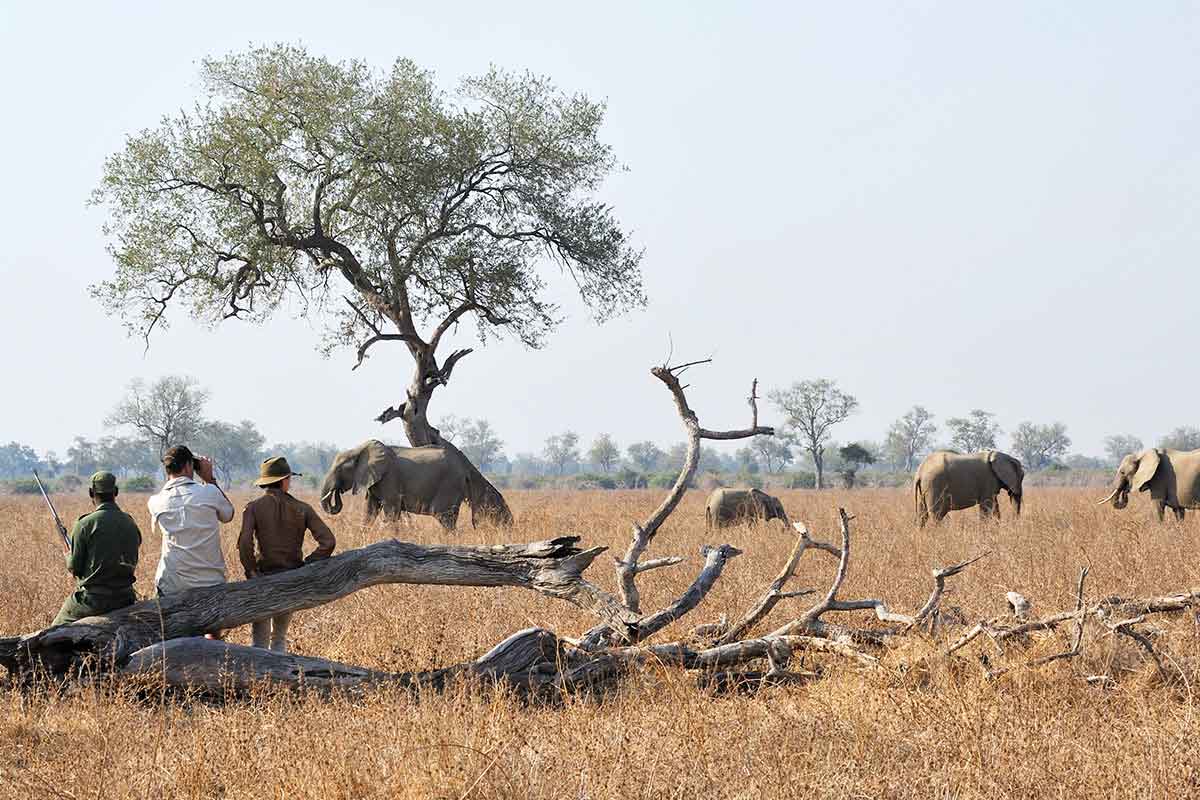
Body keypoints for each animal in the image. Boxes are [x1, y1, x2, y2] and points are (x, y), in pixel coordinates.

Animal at [319, 438, 511, 532]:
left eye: (340, 469)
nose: (335, 493)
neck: (360, 448)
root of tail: (465, 463)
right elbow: (370, 510)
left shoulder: (389, 478)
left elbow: (391, 512)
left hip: (449, 485)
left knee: (446, 519)